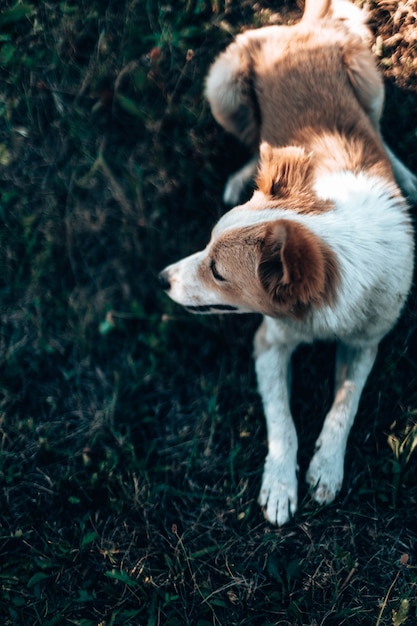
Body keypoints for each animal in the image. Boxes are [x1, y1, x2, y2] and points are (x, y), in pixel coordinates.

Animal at [158, 1, 414, 528]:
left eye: (218, 271)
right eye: (205, 244)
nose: (161, 280)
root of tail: (302, 27)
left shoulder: (366, 342)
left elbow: (344, 405)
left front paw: (326, 469)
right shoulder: (269, 342)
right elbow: (283, 422)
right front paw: (279, 485)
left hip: (369, 82)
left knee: (379, 130)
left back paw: (407, 177)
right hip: (223, 86)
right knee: (250, 135)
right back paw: (245, 172)